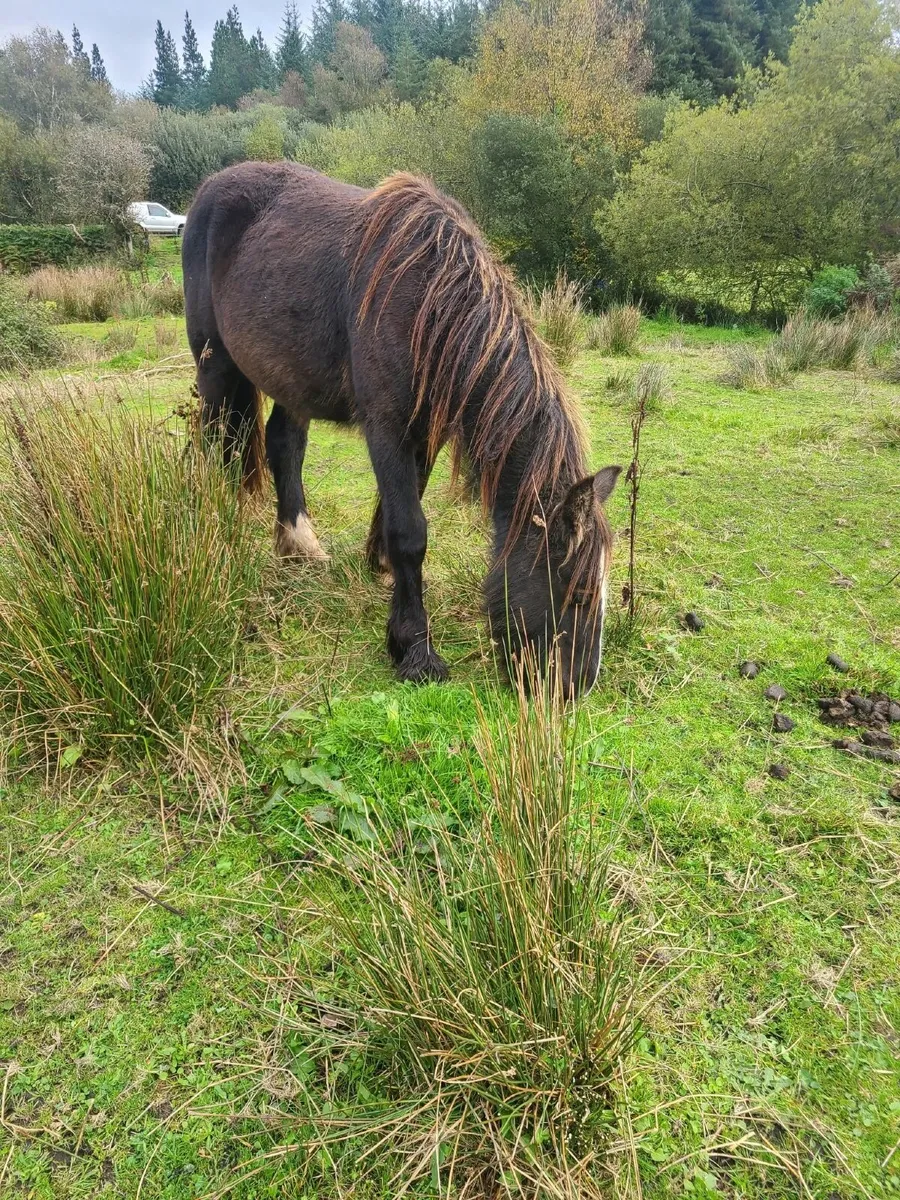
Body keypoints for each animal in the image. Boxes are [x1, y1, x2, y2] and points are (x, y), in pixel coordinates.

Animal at [182, 162, 620, 696]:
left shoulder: (425, 434)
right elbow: (410, 532)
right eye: (578, 593)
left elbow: (402, 509)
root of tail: (209, 189)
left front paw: (382, 569)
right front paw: (414, 649)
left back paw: (299, 545)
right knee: (214, 443)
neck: (428, 303)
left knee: (284, 445)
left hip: (290, 379)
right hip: (215, 368)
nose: (575, 688)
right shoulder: (387, 429)